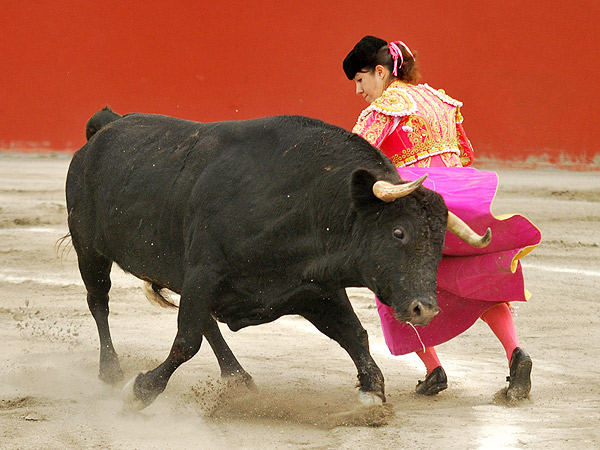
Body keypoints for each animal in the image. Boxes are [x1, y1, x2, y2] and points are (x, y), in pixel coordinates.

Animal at [65, 110, 454, 412]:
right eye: (398, 232)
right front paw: (140, 391)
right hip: (89, 249)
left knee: (206, 324)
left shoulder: (316, 289)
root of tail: (106, 125)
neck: (300, 199)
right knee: (99, 301)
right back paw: (111, 370)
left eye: (440, 241)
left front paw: (372, 390)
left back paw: (238, 378)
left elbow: (353, 333)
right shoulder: (204, 273)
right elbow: (186, 341)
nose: (425, 309)